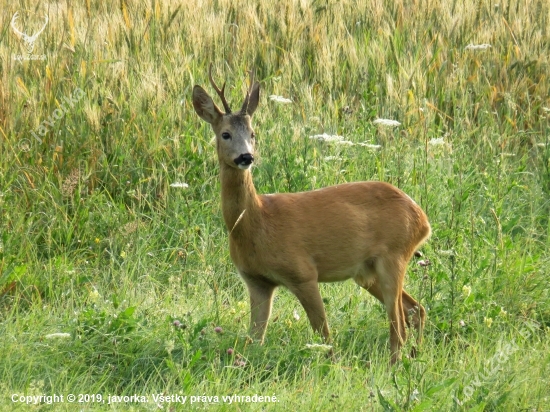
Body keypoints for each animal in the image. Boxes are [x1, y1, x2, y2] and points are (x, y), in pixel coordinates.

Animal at [192, 65, 434, 364]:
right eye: (225, 134)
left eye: (253, 133)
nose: (246, 157)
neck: (257, 223)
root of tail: (423, 218)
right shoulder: (256, 281)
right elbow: (254, 339)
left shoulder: (303, 272)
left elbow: (324, 333)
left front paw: (334, 366)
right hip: (367, 272)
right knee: (415, 310)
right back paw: (415, 355)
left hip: (394, 255)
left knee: (399, 324)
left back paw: (396, 364)